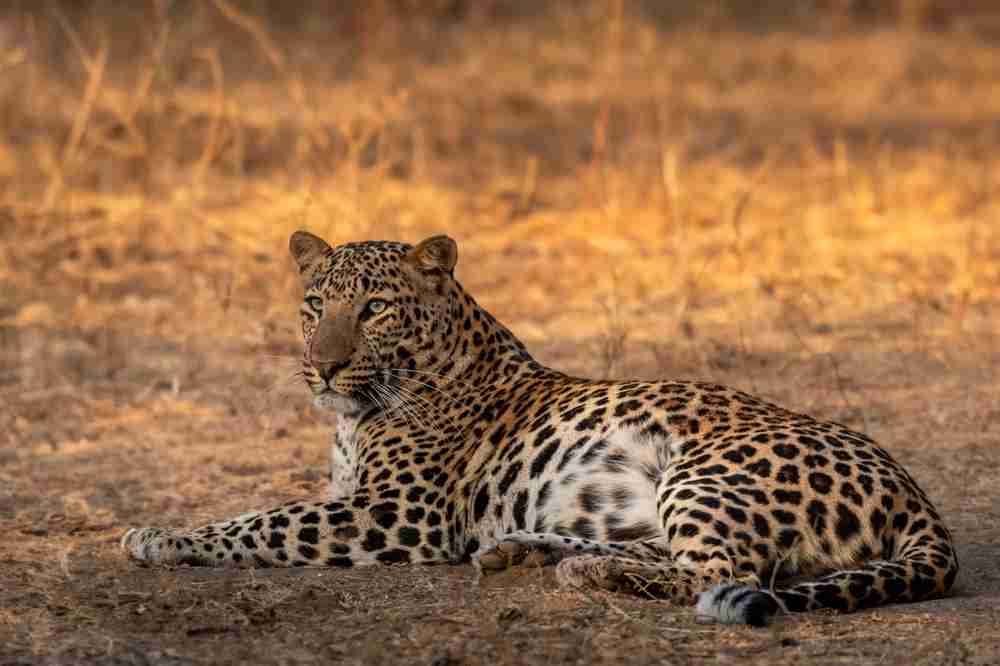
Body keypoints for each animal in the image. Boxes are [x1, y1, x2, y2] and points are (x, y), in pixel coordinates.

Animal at [121, 231, 958, 626]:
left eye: (374, 308)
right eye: (314, 304)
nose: (322, 368)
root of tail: (914, 493)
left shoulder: (398, 513)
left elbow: (261, 520)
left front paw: (160, 535)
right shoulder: (357, 496)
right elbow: (269, 510)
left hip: (705, 472)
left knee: (724, 575)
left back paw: (581, 571)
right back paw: (529, 553)